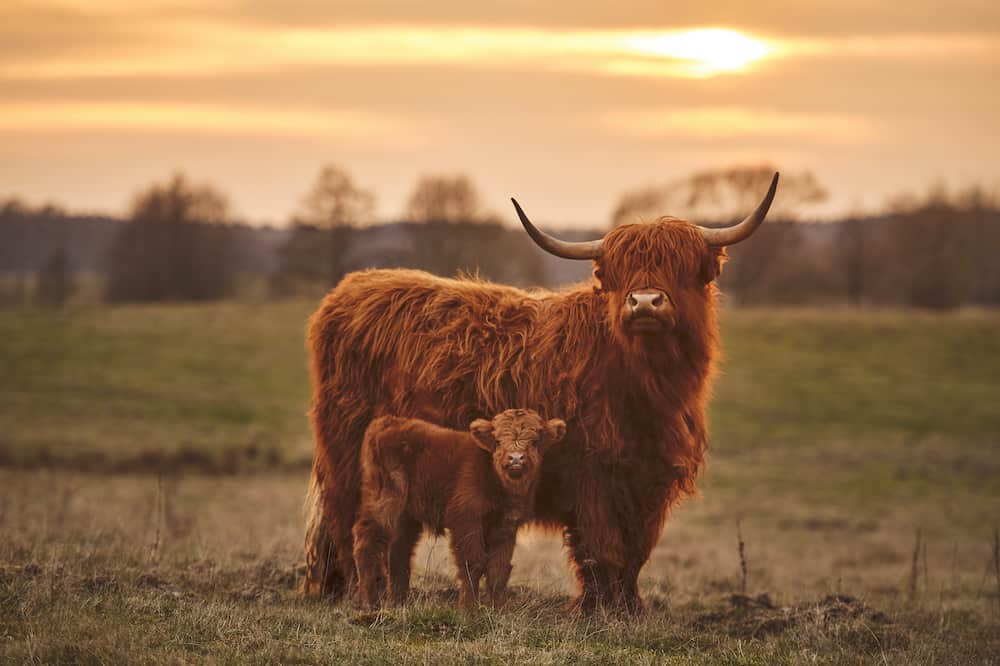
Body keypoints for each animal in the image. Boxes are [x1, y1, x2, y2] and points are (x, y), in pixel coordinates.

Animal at [353, 409, 566, 609]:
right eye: (498, 441)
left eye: (535, 441)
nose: (516, 459)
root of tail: (387, 422)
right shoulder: (466, 520)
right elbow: (473, 564)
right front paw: (468, 609)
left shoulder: (506, 526)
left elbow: (498, 569)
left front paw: (498, 609)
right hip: (385, 501)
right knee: (367, 541)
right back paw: (368, 602)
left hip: (406, 516)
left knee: (399, 550)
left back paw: (399, 603)